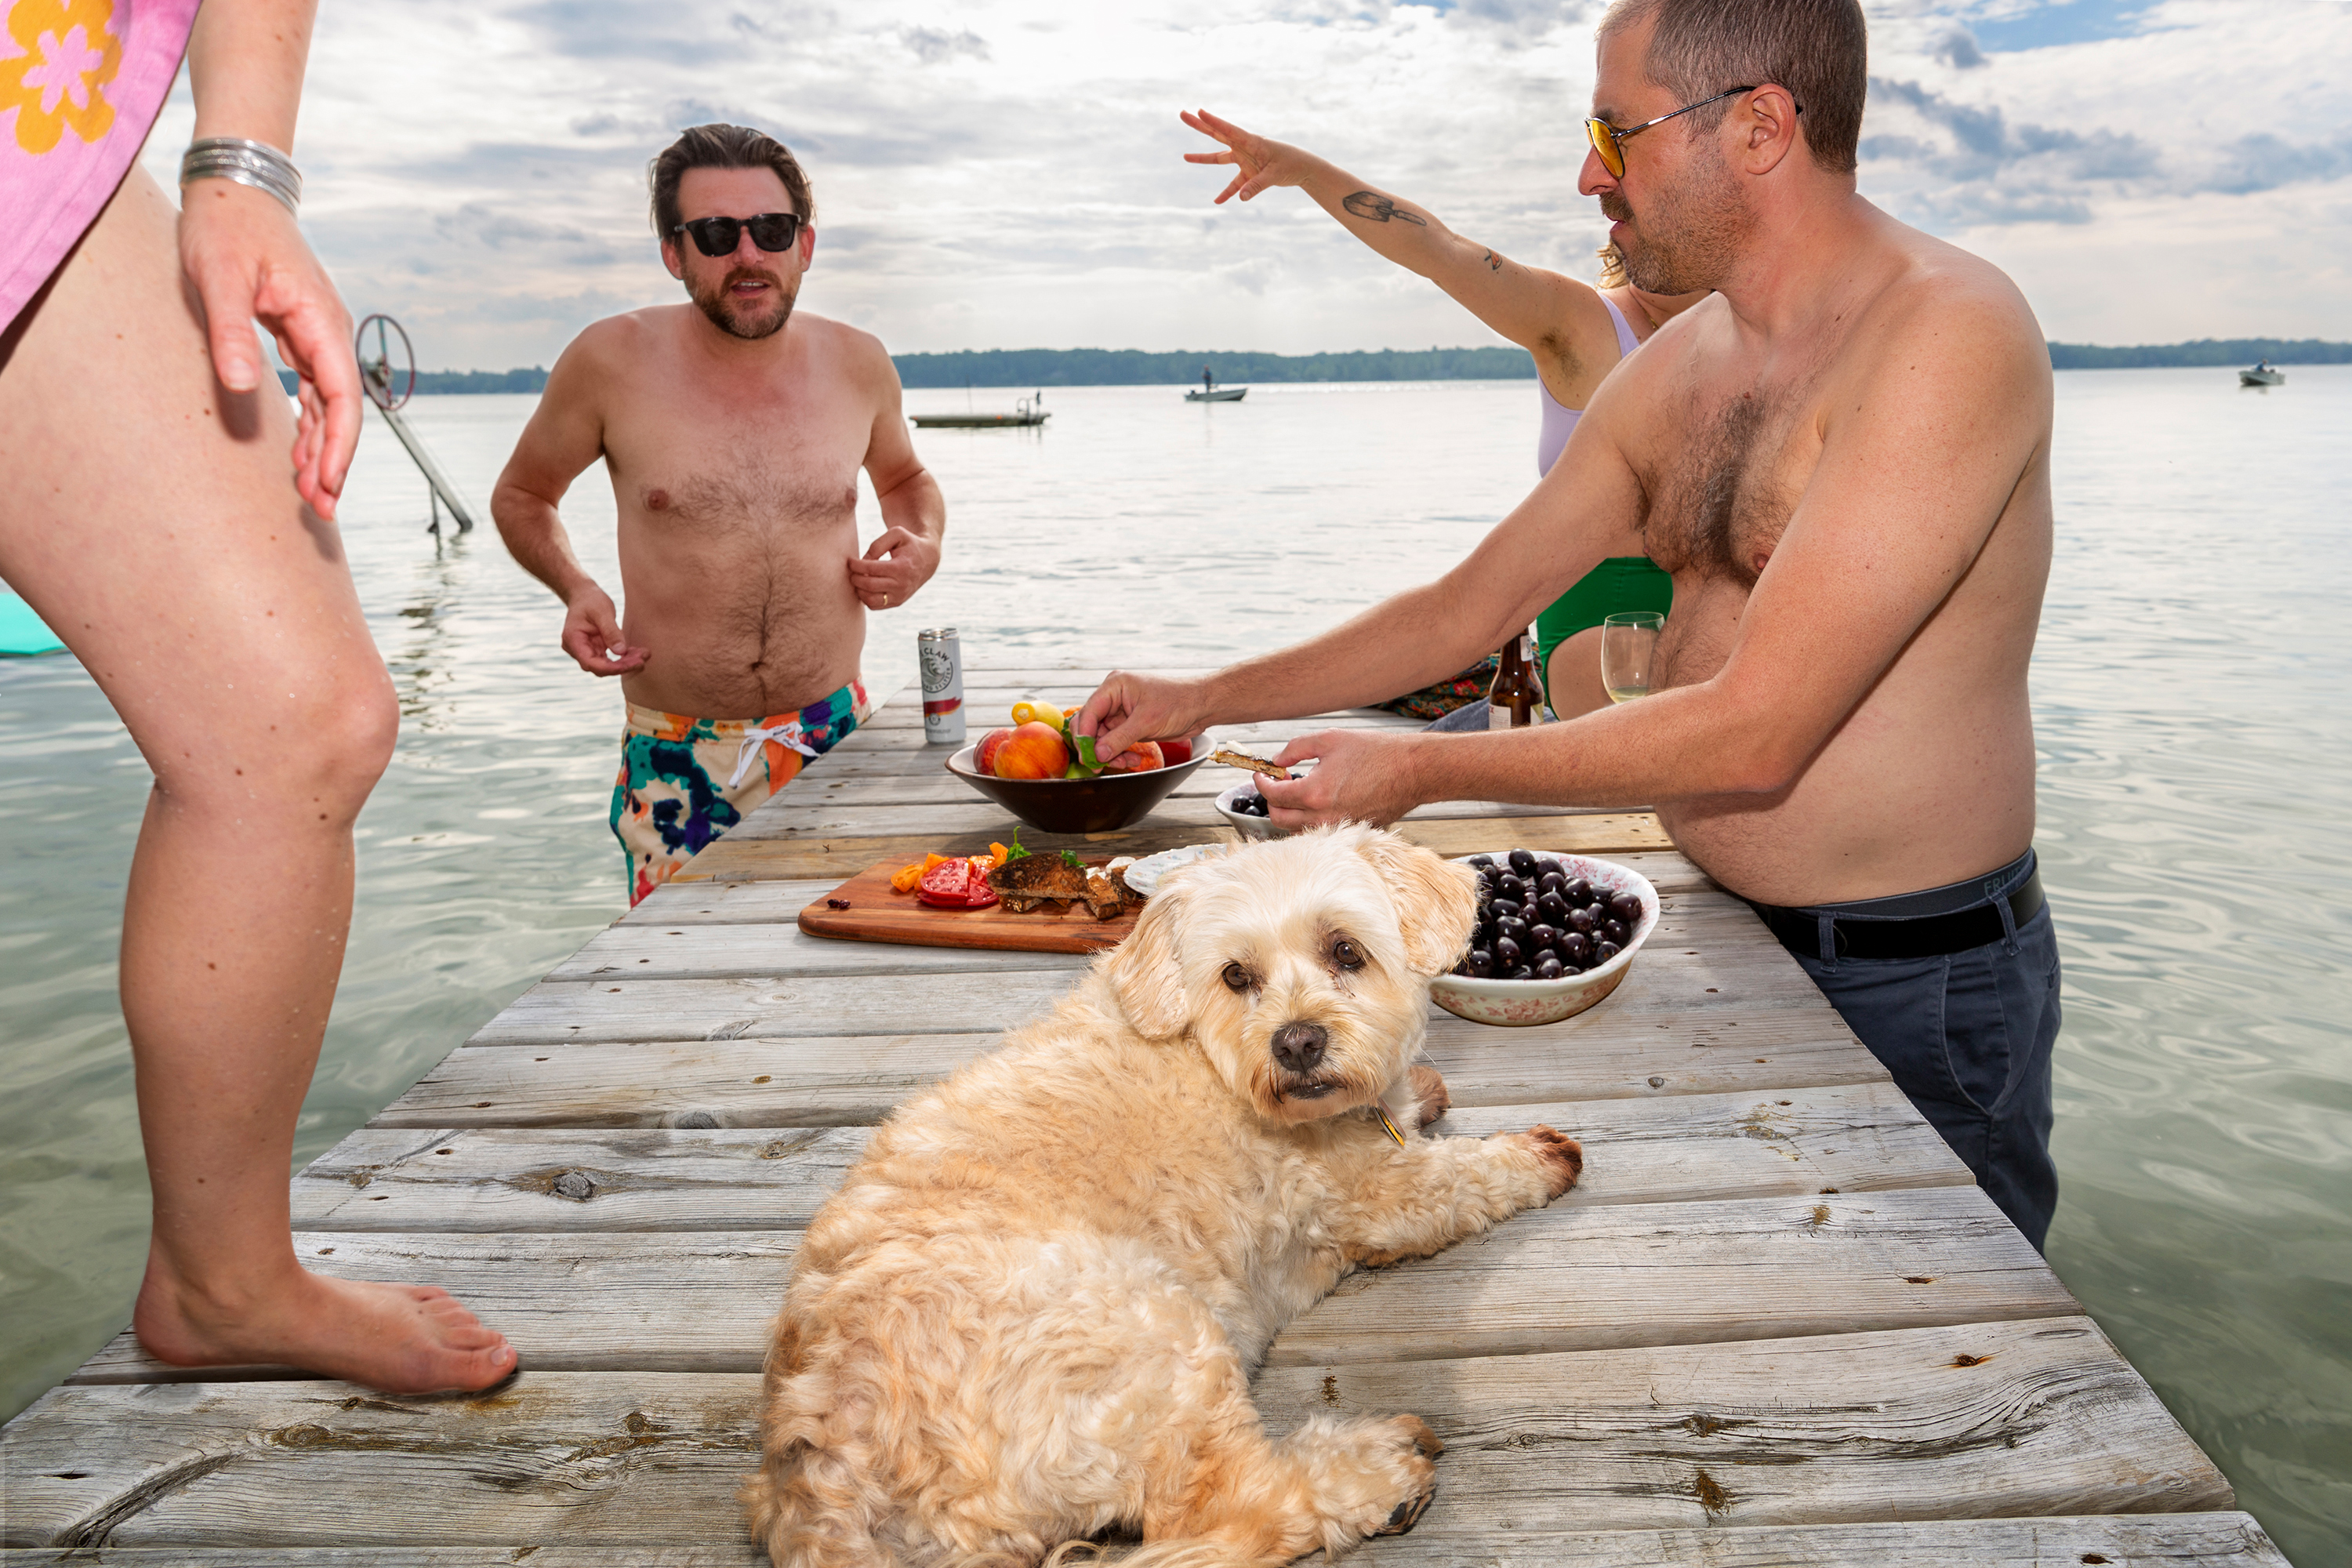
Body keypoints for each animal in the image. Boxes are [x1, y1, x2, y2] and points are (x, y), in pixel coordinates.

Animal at [748, 827, 1581, 1561]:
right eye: (1235, 976)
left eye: (1347, 950)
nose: (1297, 1042)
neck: (1210, 1060)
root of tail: (824, 1474)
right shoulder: (1376, 1194)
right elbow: (1466, 1174)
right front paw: (1538, 1156)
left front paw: (1422, 1092)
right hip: (1160, 1331)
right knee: (1234, 1506)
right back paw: (1380, 1471)